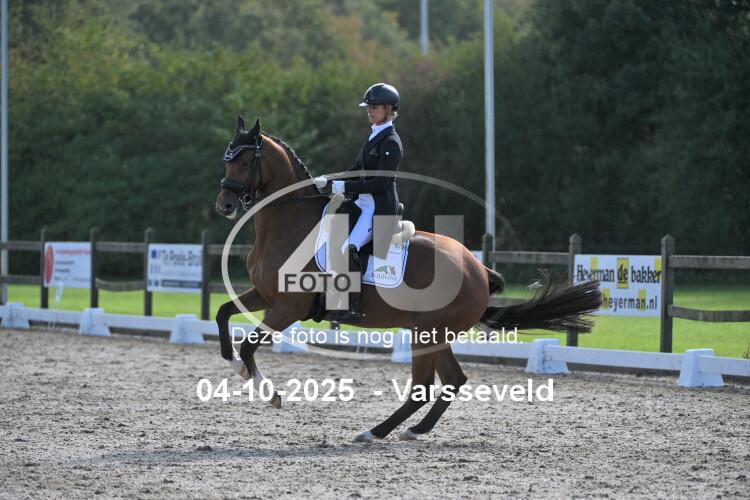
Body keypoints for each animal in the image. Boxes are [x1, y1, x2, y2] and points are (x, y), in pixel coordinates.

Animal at [214, 116, 601, 443]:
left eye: (245, 162)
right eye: (226, 160)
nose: (225, 206)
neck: (291, 224)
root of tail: (479, 269)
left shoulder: (289, 306)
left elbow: (250, 344)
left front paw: (269, 392)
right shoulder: (265, 295)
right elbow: (222, 314)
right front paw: (234, 364)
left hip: (428, 331)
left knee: (424, 386)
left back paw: (375, 432)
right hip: (434, 334)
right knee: (452, 380)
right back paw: (414, 430)